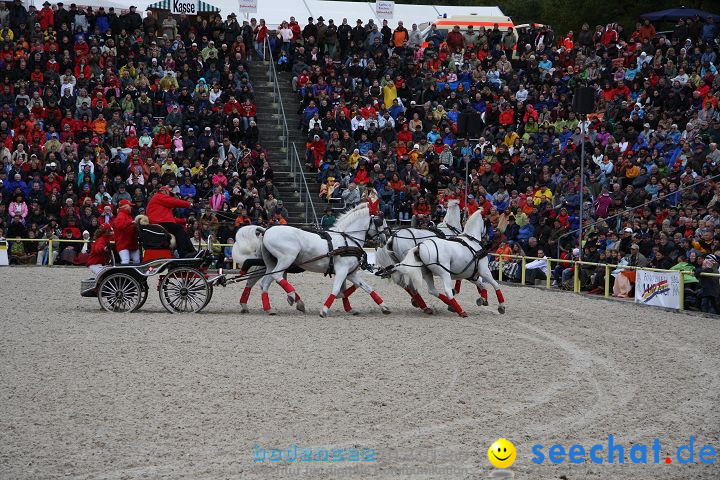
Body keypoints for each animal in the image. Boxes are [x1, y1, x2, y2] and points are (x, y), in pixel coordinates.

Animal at [258, 204, 390, 316]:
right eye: (379, 221)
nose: (386, 238)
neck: (347, 241)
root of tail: (267, 231)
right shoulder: (342, 270)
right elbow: (336, 289)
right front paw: (324, 310)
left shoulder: (350, 273)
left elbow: (367, 287)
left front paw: (384, 307)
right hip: (286, 259)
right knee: (277, 276)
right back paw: (293, 297)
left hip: (273, 263)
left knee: (265, 283)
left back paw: (270, 308)